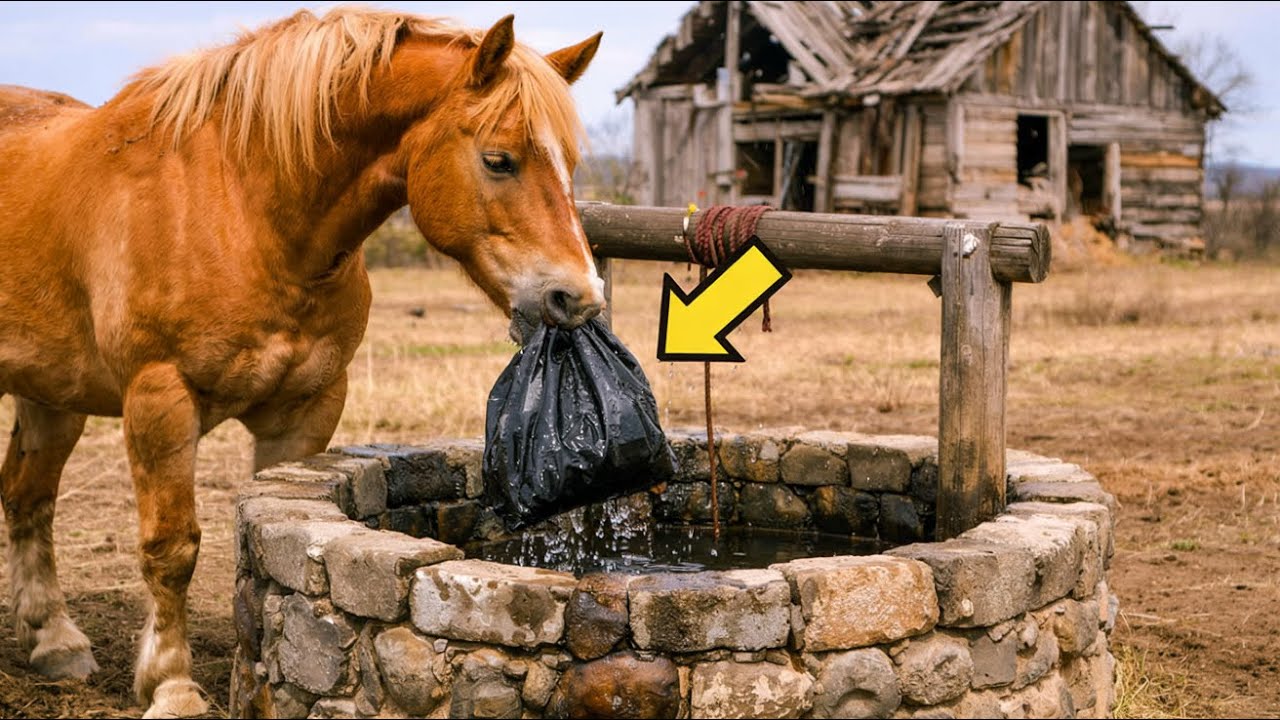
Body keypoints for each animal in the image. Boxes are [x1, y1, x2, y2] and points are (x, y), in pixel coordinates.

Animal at [0, 8, 604, 717]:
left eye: (569, 163)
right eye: (499, 160)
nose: (578, 296)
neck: (244, 208)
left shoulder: (305, 412)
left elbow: (264, 538)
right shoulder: (159, 399)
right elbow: (171, 548)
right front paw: (172, 685)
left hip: (50, 394)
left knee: (28, 497)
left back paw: (54, 641)